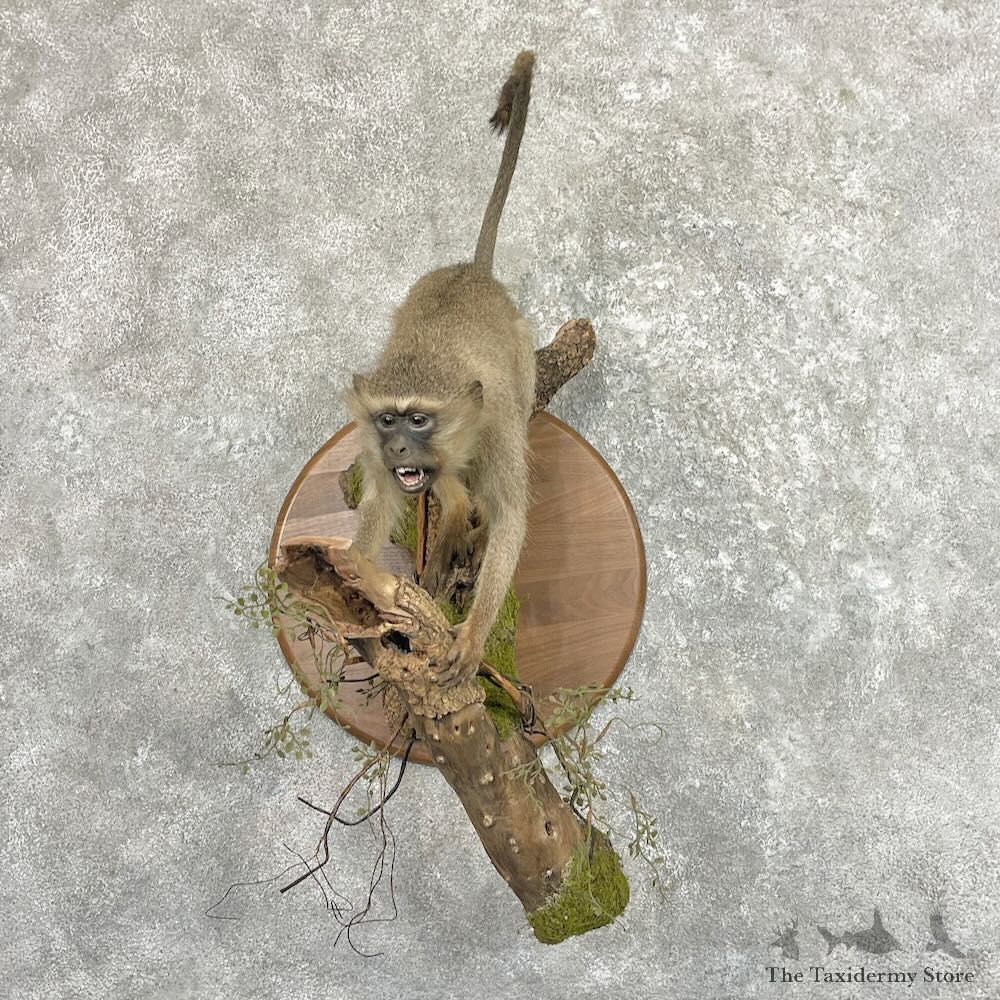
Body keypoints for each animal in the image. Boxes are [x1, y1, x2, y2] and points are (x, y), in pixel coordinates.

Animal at [344, 51, 537, 688]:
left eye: (419, 419)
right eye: (388, 421)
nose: (401, 448)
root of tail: (473, 272)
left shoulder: (499, 427)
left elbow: (511, 518)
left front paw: (472, 635)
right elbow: (380, 502)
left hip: (522, 360)